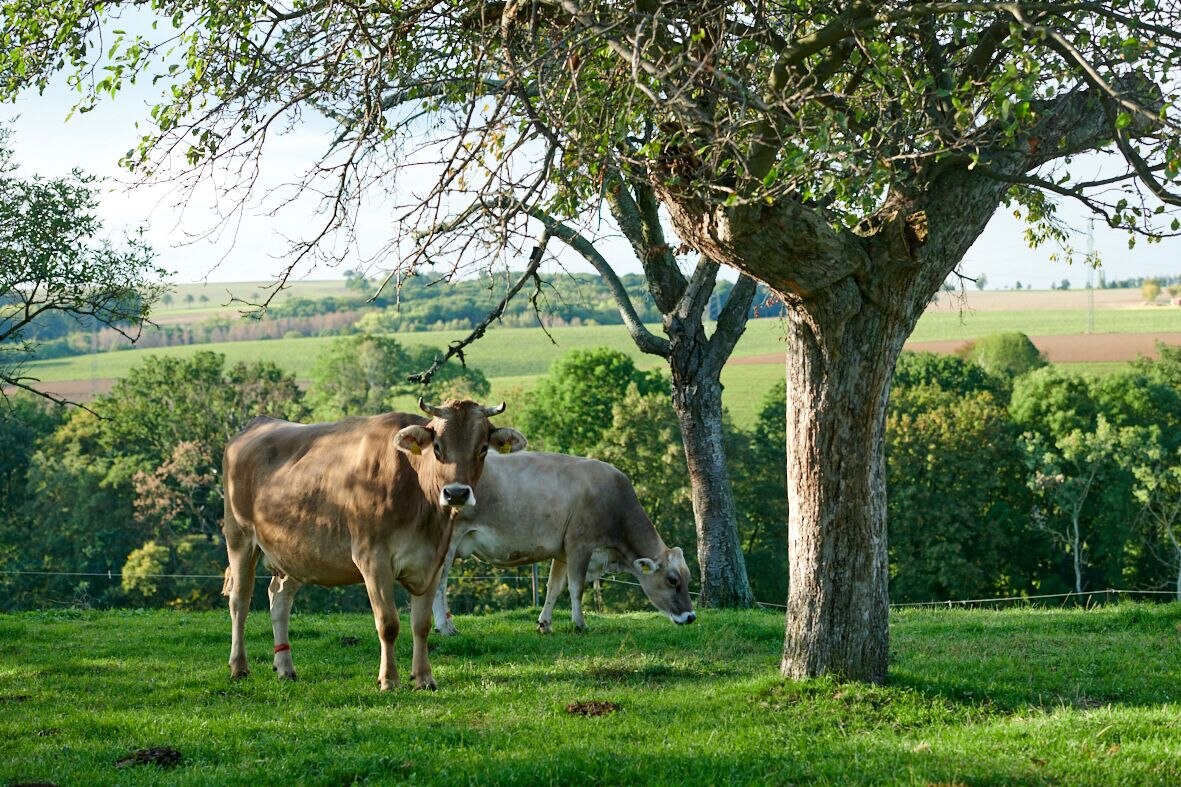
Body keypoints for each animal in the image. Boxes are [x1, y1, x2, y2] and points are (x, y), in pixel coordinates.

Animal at [222, 399, 526, 685]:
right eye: (438, 447)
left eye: (483, 448)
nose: (457, 494)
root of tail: (258, 423)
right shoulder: (373, 559)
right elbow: (388, 624)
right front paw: (389, 679)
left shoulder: (433, 561)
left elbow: (421, 624)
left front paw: (424, 678)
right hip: (239, 537)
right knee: (240, 600)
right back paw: (239, 666)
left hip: (292, 551)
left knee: (279, 599)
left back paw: (285, 668)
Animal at [432, 446, 689, 633]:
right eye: (672, 580)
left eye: (688, 578)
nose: (691, 617)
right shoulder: (580, 545)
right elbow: (576, 587)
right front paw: (580, 624)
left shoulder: (562, 551)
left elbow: (554, 588)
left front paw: (545, 624)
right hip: (448, 542)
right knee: (439, 583)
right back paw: (445, 627)